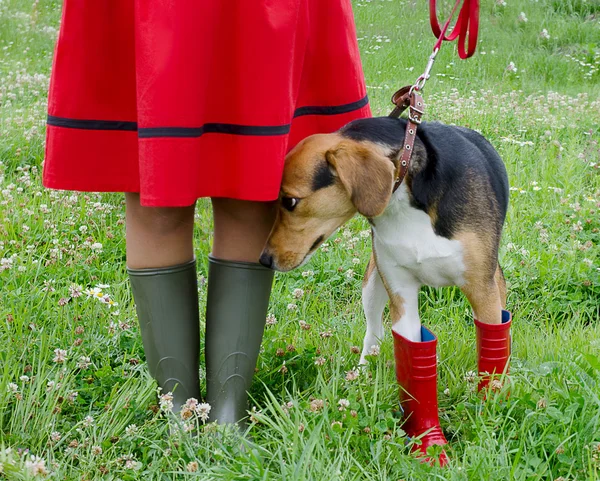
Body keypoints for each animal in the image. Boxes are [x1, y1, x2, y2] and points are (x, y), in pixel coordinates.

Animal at [260, 116, 508, 364]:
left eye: (290, 201)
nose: (264, 260)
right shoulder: (401, 295)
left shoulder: (483, 294)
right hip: (372, 283)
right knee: (374, 333)